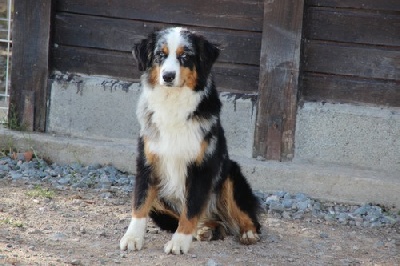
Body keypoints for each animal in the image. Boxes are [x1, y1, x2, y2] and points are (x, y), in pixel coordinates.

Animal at [120, 26, 260, 254]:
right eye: (160, 55)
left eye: (184, 56)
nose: (168, 76)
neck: (173, 103)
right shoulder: (148, 162)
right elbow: (139, 204)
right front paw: (132, 237)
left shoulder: (201, 166)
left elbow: (191, 208)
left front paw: (179, 242)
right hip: (161, 199)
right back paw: (205, 230)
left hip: (230, 174)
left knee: (247, 216)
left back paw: (247, 232)